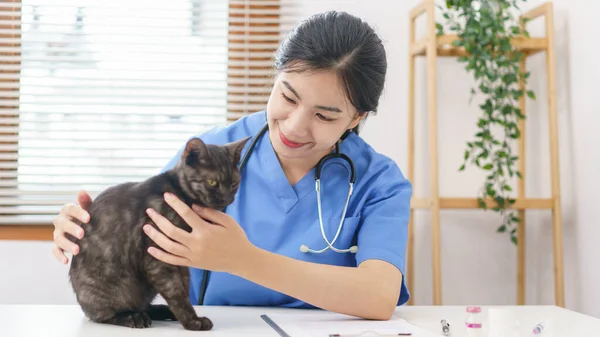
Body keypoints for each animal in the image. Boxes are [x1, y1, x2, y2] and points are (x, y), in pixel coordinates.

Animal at [67, 135, 248, 330]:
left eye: (234, 184)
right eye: (212, 182)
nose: (227, 198)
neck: (183, 198)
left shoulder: (180, 259)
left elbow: (184, 286)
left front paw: (185, 317)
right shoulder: (158, 259)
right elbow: (176, 292)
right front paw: (193, 321)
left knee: (142, 305)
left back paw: (161, 311)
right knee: (104, 315)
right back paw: (133, 317)